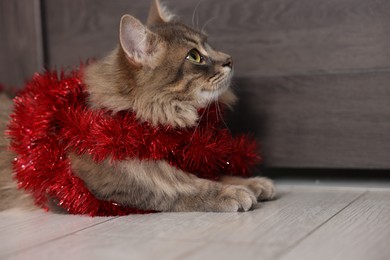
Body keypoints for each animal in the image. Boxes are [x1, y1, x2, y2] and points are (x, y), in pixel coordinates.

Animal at [0, 0, 274, 212]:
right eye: (194, 56)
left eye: (210, 44)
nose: (230, 59)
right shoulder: (113, 171)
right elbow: (179, 185)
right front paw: (230, 192)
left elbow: (211, 173)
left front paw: (251, 182)